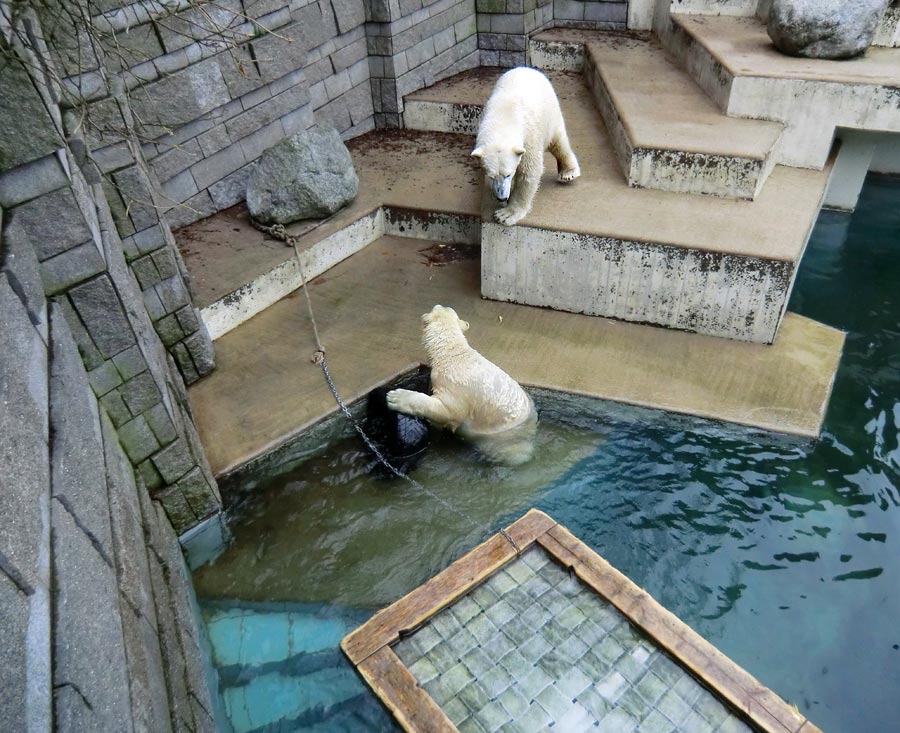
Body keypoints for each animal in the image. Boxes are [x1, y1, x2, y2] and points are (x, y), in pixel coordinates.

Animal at [468, 66, 580, 226]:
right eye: (491, 176)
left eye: (508, 174)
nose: (501, 197)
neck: (504, 117)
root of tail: (527, 68)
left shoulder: (529, 137)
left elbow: (529, 171)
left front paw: (505, 215)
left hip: (550, 114)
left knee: (558, 142)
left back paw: (568, 172)